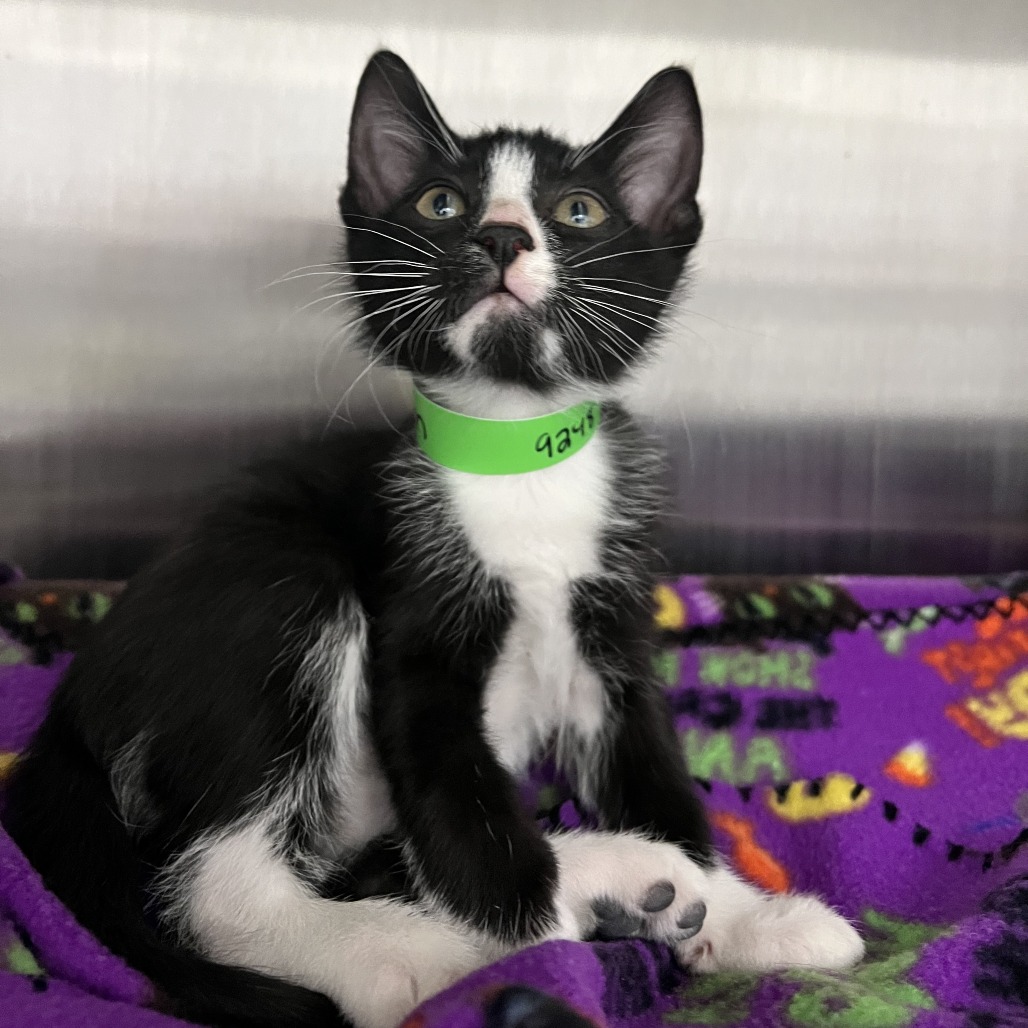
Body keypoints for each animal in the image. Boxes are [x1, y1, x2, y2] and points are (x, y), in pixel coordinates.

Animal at [3, 51, 863, 1028]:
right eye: (441, 203)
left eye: (580, 211)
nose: (499, 237)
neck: (514, 458)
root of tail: (64, 717)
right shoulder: (418, 622)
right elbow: (464, 807)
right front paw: (536, 947)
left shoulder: (610, 627)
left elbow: (650, 770)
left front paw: (741, 913)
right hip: (277, 586)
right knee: (225, 881)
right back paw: (415, 953)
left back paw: (630, 880)